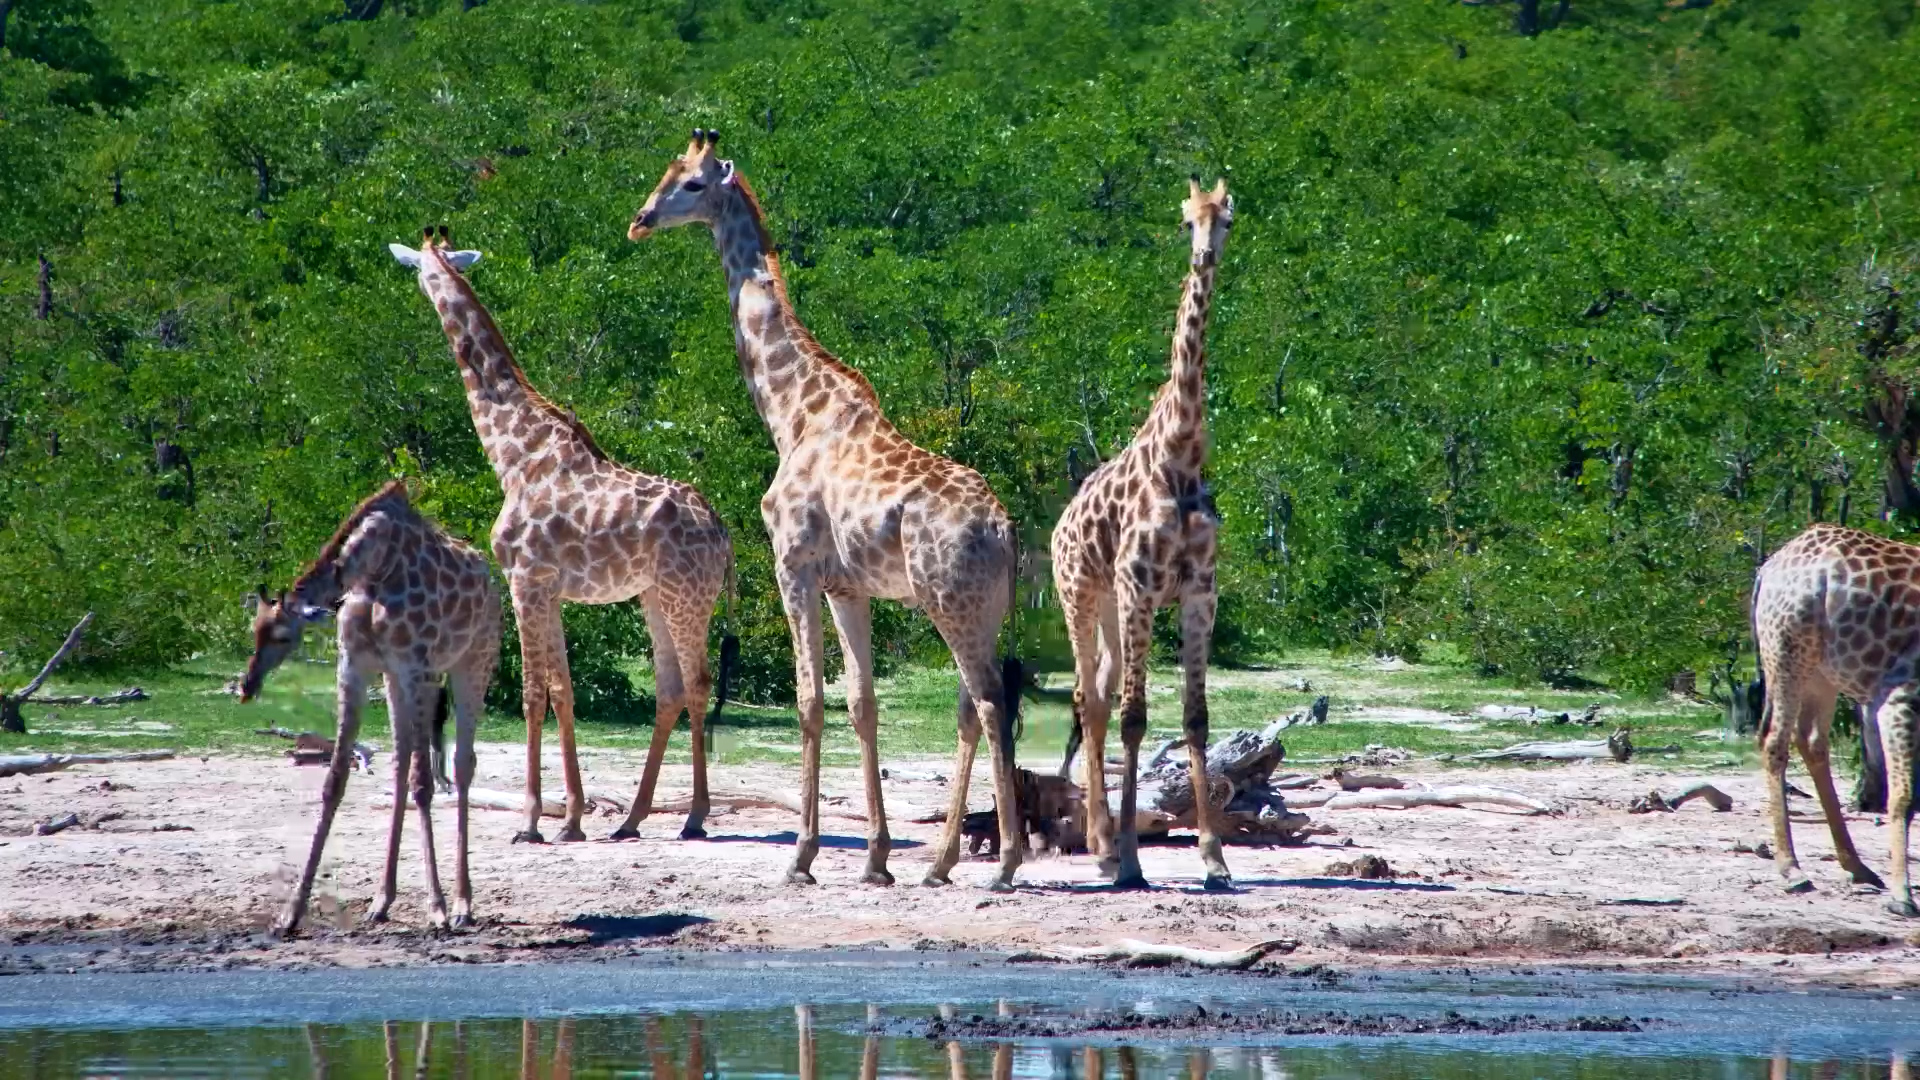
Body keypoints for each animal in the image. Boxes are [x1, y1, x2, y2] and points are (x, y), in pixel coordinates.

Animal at [240, 480, 501, 934]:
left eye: (283, 635)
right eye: (255, 630)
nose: (247, 685)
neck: (374, 568)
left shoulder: (416, 665)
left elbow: (424, 783)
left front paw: (437, 909)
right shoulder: (356, 665)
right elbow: (335, 779)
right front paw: (290, 912)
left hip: (471, 662)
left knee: (462, 764)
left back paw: (463, 904)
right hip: (396, 679)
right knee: (400, 762)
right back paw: (382, 900)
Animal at [389, 227, 732, 844]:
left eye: (423, 270)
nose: (422, 289)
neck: (512, 453)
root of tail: (723, 532)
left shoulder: (524, 579)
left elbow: (532, 694)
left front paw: (531, 822)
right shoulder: (548, 588)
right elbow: (562, 691)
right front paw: (571, 818)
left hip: (686, 595)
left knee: (695, 681)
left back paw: (694, 817)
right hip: (653, 595)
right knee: (669, 688)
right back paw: (630, 821)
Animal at [628, 130, 1027, 889]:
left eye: (691, 183)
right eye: (666, 171)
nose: (639, 220)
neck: (792, 413)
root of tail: (1004, 531)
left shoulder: (793, 566)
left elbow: (810, 701)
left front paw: (804, 856)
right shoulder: (849, 587)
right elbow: (862, 704)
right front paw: (876, 860)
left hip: (948, 601)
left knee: (991, 703)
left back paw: (1007, 862)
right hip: (985, 608)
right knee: (973, 705)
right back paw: (938, 862)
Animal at [1049, 177, 1234, 890]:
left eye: (1226, 218)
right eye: (1187, 221)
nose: (1205, 255)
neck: (1181, 455)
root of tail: (1058, 524)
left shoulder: (1199, 589)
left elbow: (1195, 718)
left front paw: (1215, 859)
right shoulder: (1140, 588)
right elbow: (1136, 718)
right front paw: (1131, 859)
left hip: (1108, 608)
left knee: (1097, 696)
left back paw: (1099, 843)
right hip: (1081, 596)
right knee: (1088, 697)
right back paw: (1105, 849)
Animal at [1752, 522, 1918, 917]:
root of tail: (1769, 568)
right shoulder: (1899, 693)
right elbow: (1903, 797)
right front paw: (1902, 897)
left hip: (1820, 672)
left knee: (1811, 741)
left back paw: (1857, 867)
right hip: (1786, 651)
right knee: (1775, 742)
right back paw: (1792, 870)